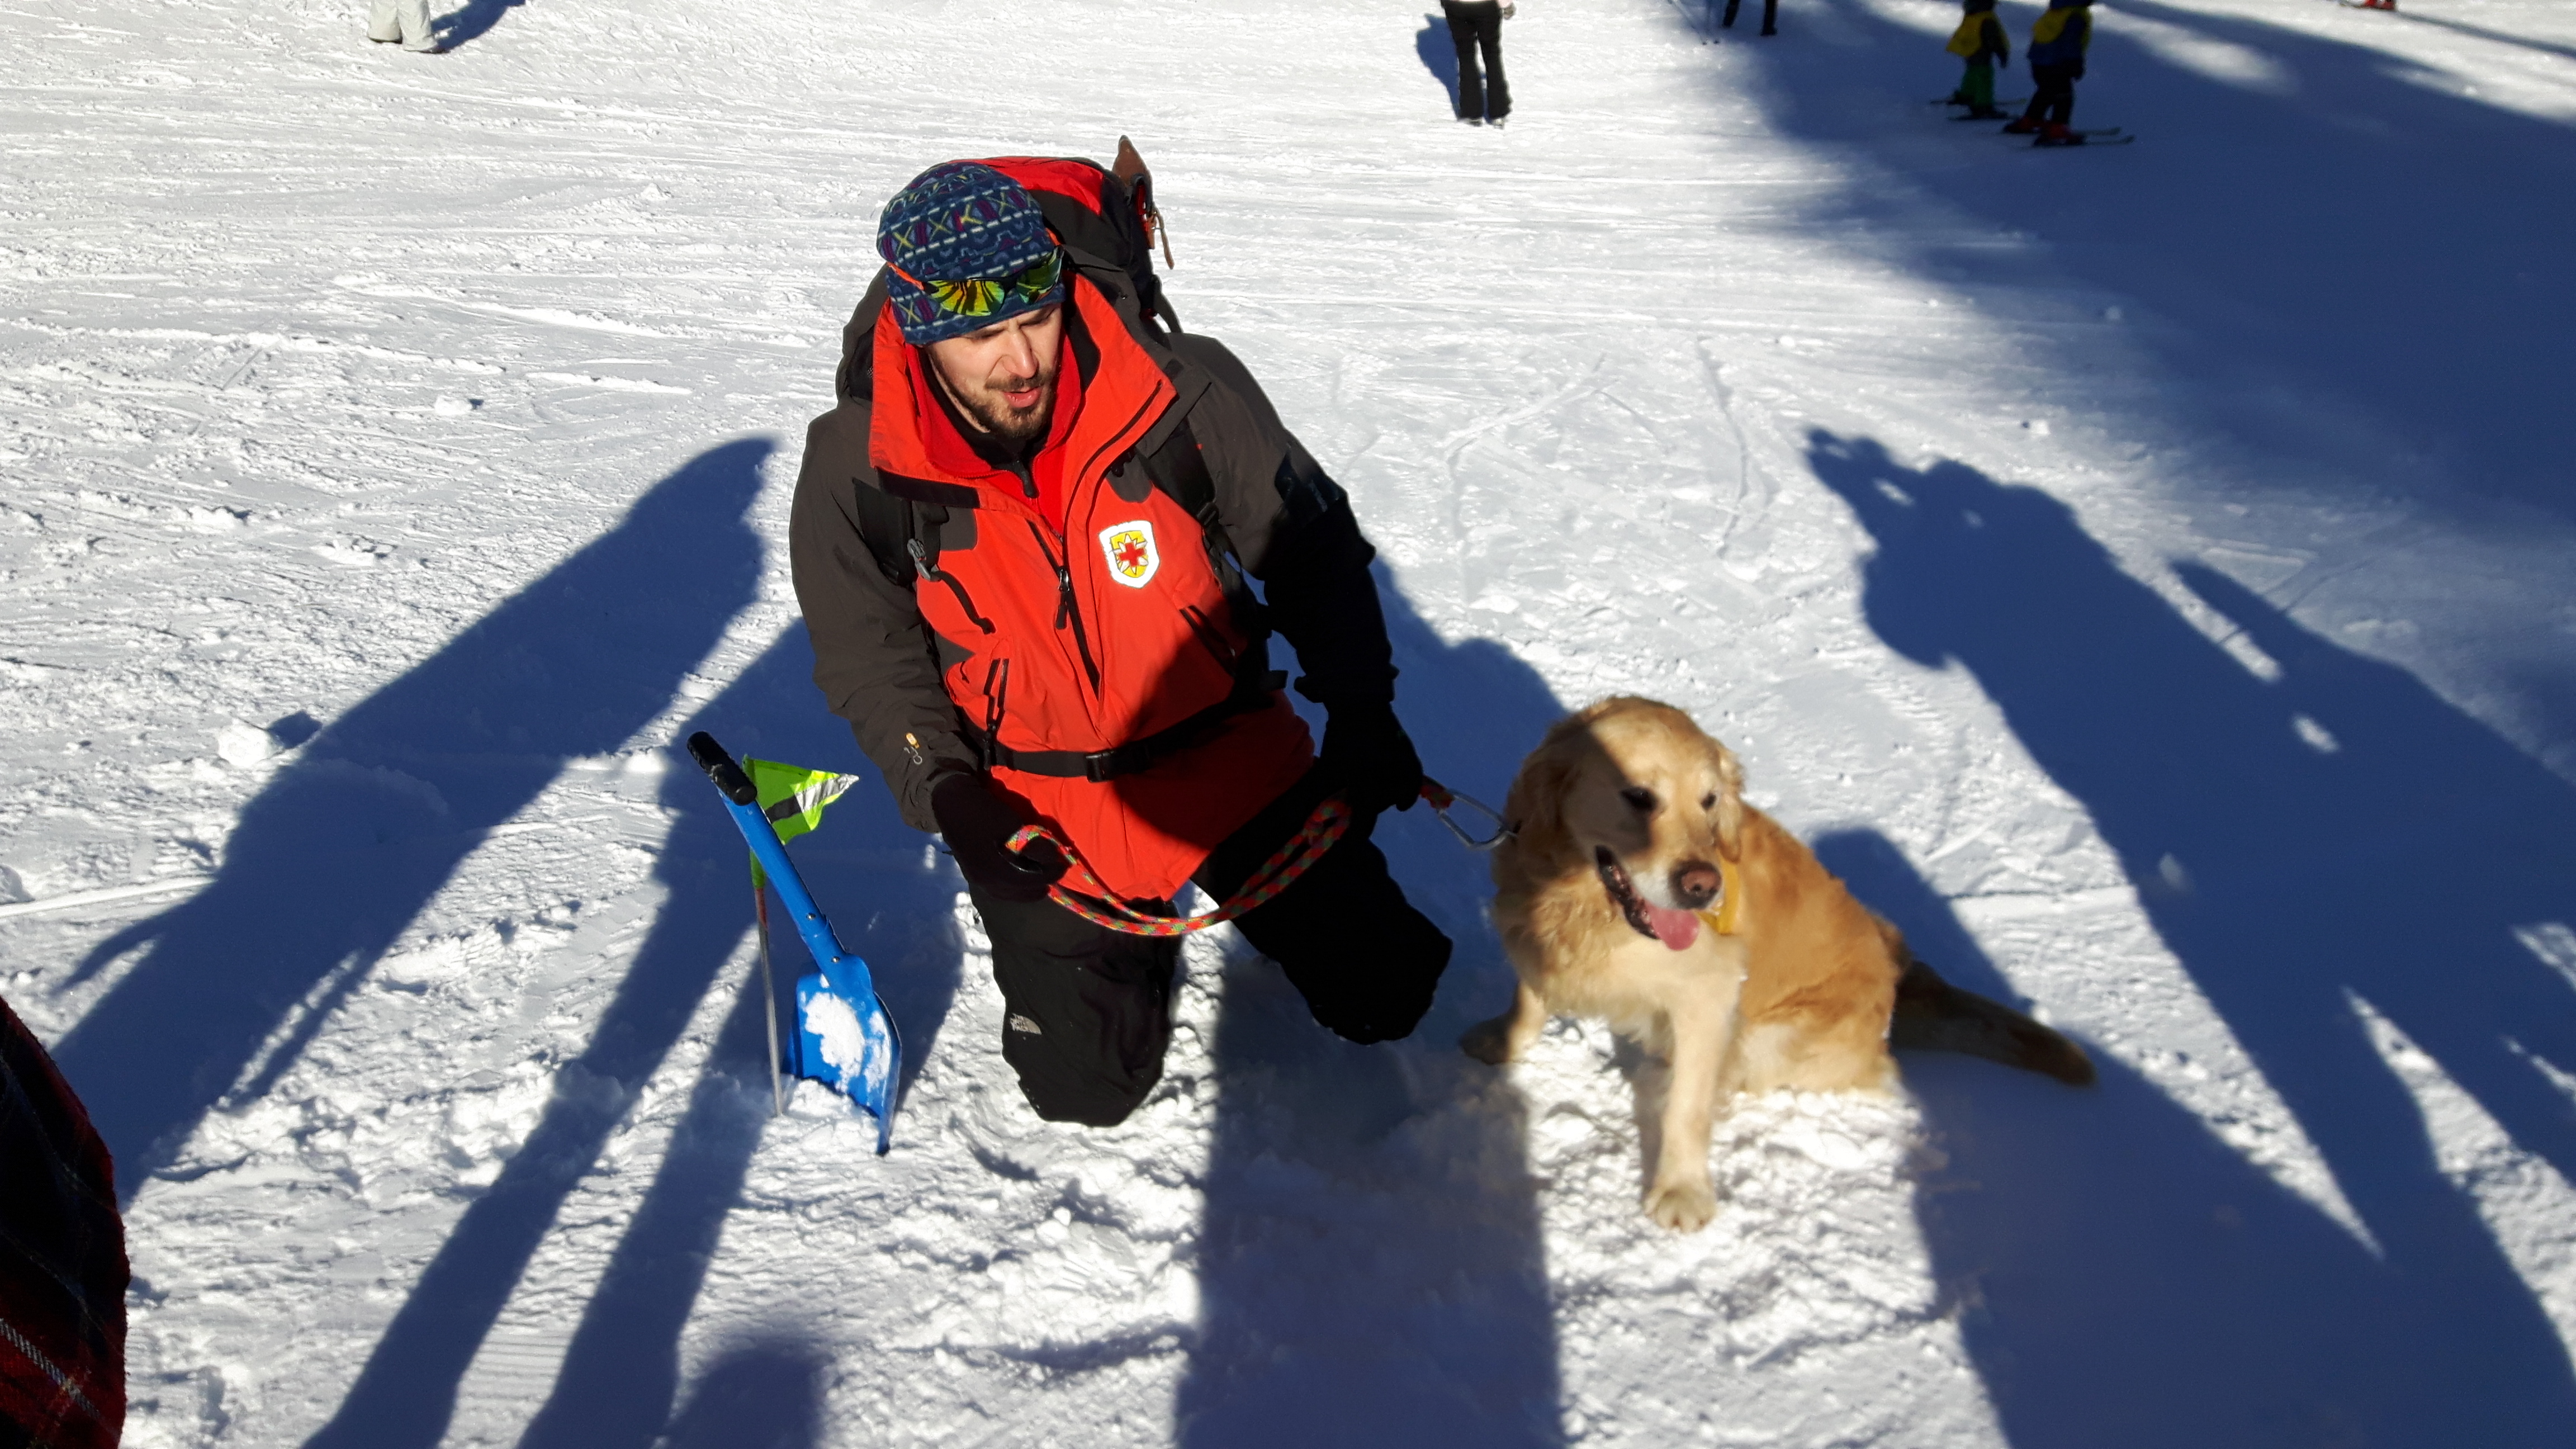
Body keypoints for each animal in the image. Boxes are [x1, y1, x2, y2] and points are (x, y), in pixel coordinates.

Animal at [1463, 696, 2081, 1227]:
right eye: (1638, 796)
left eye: (1709, 802)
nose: (1703, 887)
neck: (1587, 908)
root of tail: (1899, 976)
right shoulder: (1534, 935)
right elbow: (1529, 998)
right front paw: (1503, 1040)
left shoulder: (1710, 993)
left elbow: (1688, 1106)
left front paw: (1682, 1190)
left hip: (1775, 1034)